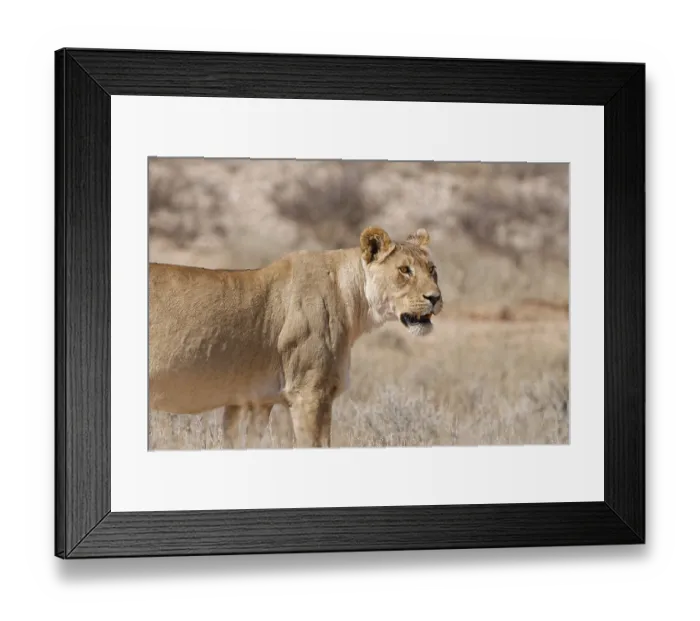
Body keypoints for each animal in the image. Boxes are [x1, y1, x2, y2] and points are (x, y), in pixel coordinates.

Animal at [148, 226, 443, 449]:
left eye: (432, 269)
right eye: (404, 270)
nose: (436, 297)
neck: (352, 298)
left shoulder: (254, 400)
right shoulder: (310, 393)